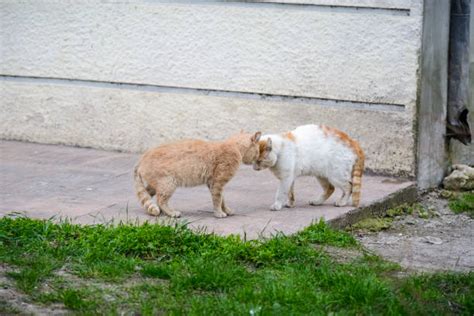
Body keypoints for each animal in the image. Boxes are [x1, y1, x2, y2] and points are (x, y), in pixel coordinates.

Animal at [133, 131, 262, 217]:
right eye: (258, 151)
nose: (258, 158)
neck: (235, 147)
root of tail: (142, 158)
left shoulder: (213, 183)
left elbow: (222, 199)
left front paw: (226, 210)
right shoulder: (218, 183)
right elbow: (217, 199)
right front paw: (219, 213)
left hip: (156, 185)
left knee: (146, 195)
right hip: (168, 184)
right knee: (160, 200)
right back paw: (171, 213)